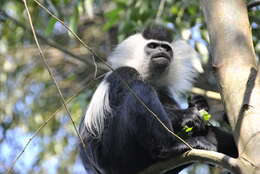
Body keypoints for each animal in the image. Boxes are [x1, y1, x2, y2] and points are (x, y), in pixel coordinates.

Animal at [78, 24, 237, 174]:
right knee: (139, 91)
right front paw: (188, 113)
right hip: (116, 153)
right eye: (153, 46)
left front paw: (199, 103)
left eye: (166, 48)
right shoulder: (125, 73)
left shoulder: (165, 92)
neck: (149, 77)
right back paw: (173, 147)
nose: (162, 50)